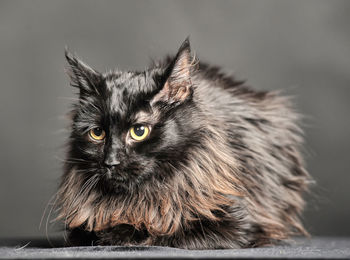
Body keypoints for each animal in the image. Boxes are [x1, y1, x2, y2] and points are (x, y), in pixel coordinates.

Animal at [56, 37, 310, 249]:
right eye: (97, 133)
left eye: (139, 131)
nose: (111, 162)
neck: (143, 197)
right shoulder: (80, 228)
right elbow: (95, 232)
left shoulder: (238, 222)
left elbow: (165, 233)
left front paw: (127, 233)